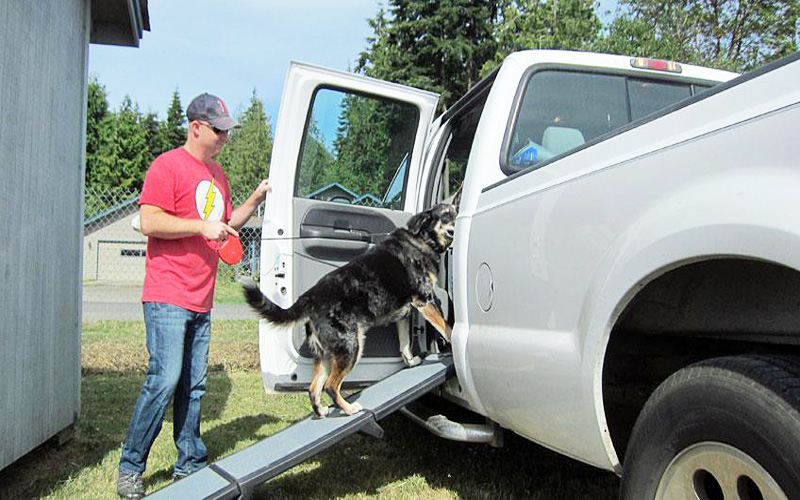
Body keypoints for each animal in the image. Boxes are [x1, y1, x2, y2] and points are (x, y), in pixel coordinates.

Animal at [242, 203, 456, 418]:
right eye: (447, 214)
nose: (458, 215)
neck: (422, 240)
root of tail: (310, 296)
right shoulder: (424, 301)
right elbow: (446, 327)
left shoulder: (403, 315)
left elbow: (404, 346)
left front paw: (411, 362)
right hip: (351, 347)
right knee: (330, 386)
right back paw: (349, 408)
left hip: (326, 354)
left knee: (313, 389)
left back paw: (322, 411)